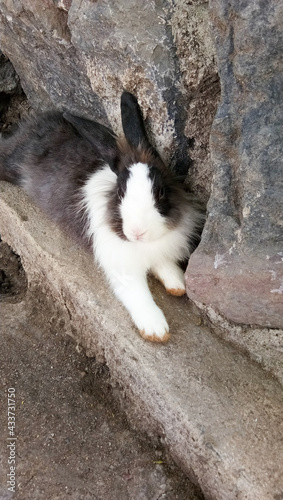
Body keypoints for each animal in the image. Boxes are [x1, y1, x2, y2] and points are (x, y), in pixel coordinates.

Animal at [0, 92, 204, 342]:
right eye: (120, 193)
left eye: (161, 192)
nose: (137, 232)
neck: (142, 245)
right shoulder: (122, 267)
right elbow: (138, 295)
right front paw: (156, 330)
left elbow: (165, 266)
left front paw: (177, 284)